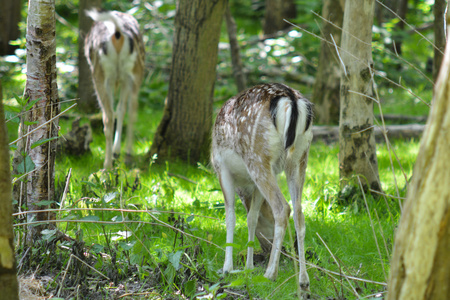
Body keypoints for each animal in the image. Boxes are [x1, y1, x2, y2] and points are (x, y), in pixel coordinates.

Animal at [85, 9, 145, 169]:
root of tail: (117, 31)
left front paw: (115, 152)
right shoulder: (123, 80)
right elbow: (121, 109)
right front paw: (117, 150)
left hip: (100, 74)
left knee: (109, 116)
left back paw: (108, 164)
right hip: (133, 72)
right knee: (131, 109)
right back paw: (126, 154)